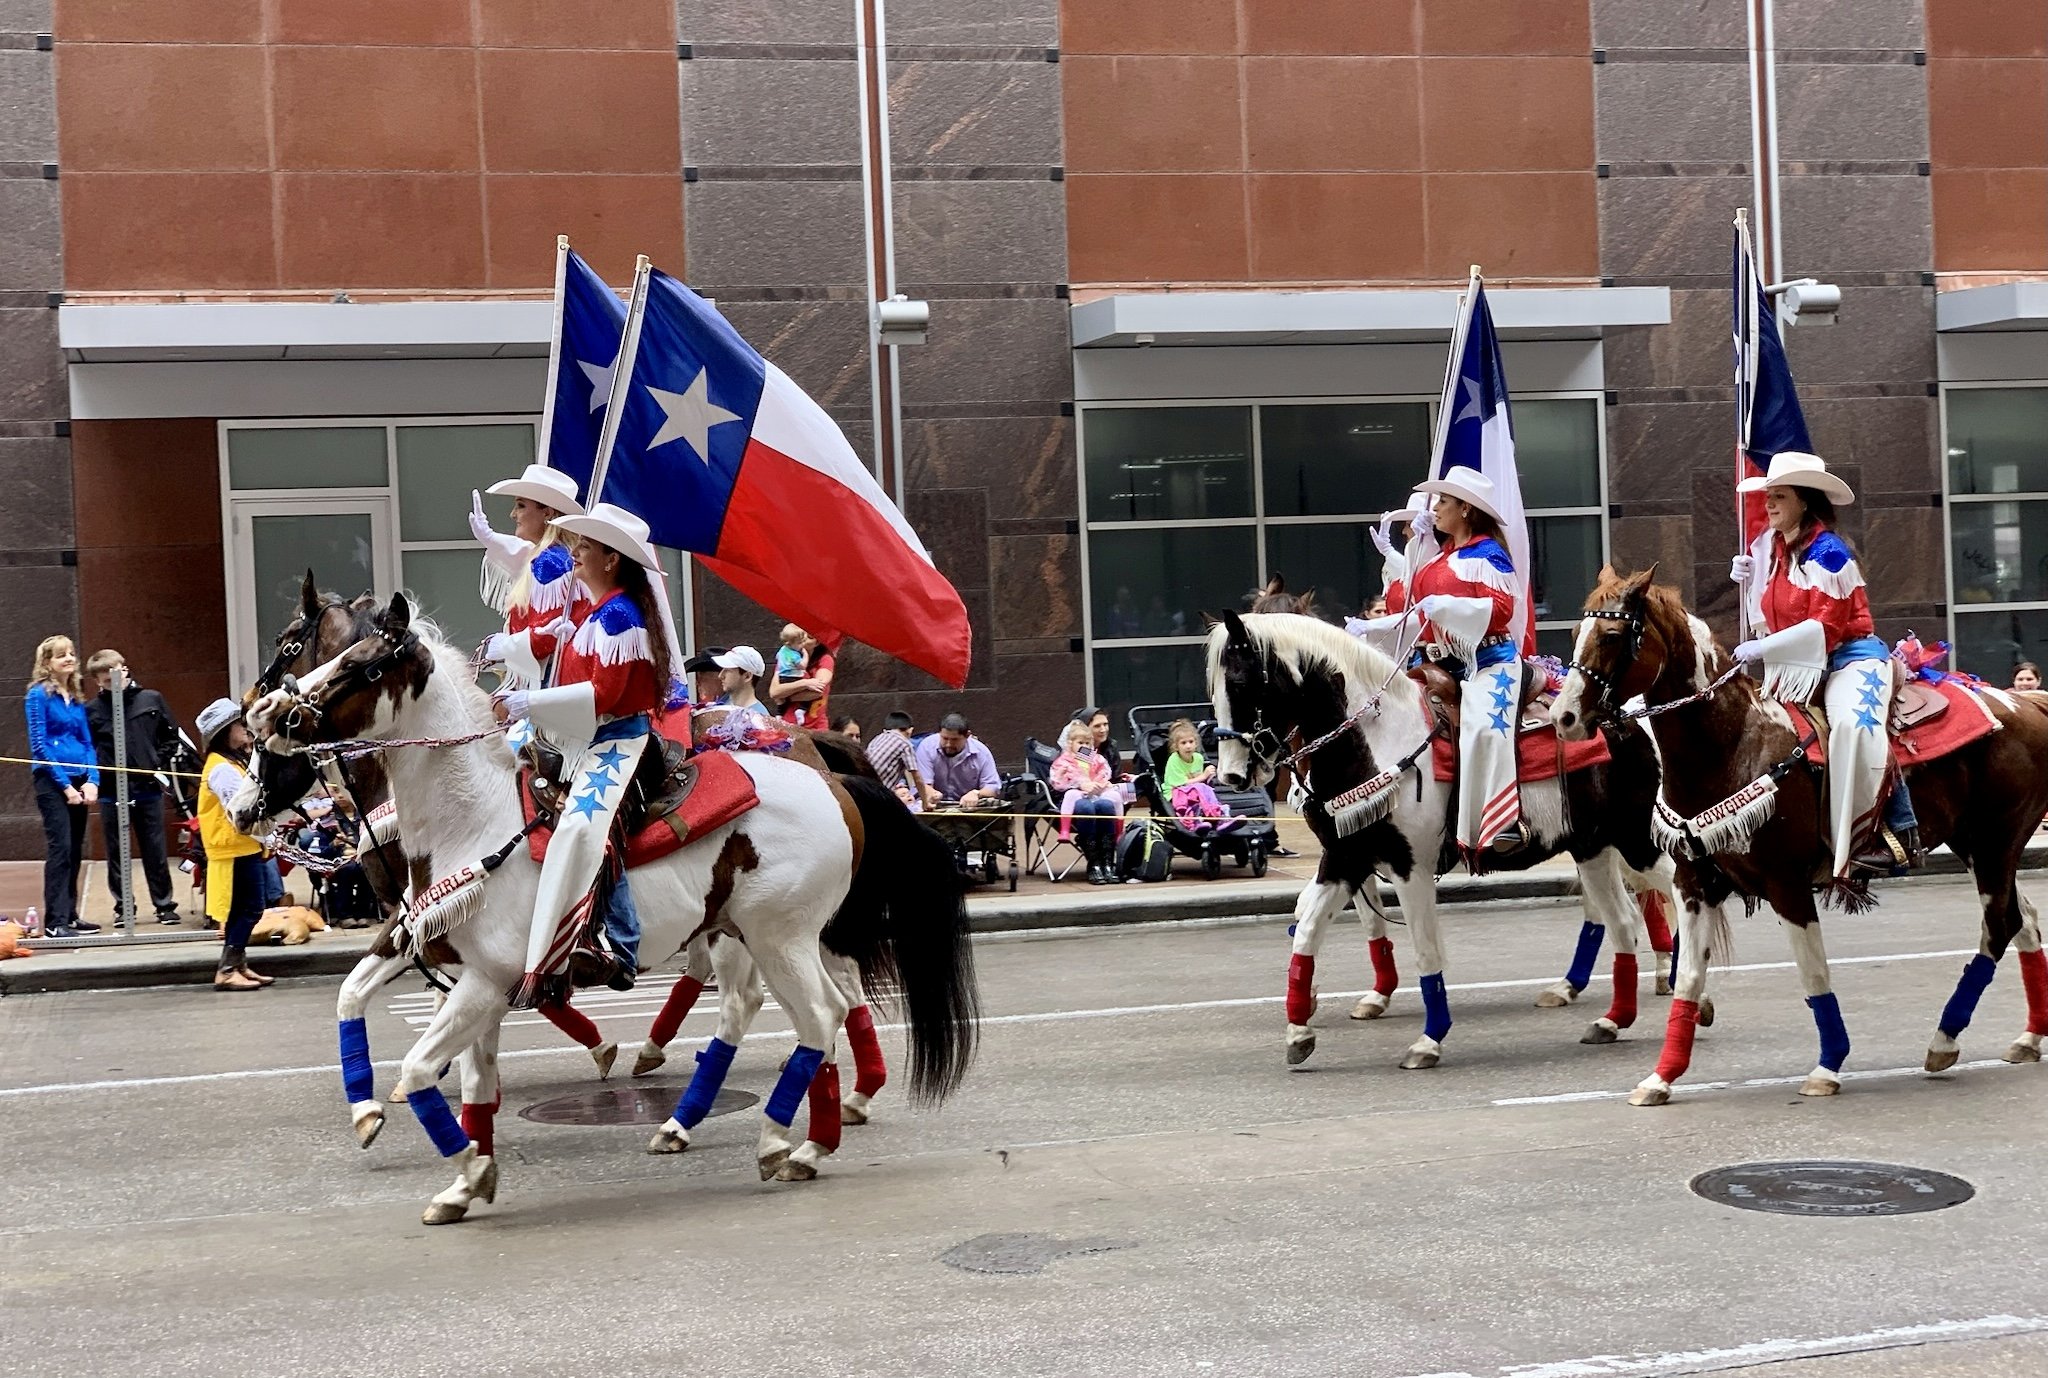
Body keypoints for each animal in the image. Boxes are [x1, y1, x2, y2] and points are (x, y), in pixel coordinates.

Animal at [1548, 565, 2048, 1105]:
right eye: (1574, 634)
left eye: (1612, 636)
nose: (1563, 718)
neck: (1730, 747)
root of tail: (2026, 702)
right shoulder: (1695, 883)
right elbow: (1689, 978)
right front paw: (1660, 1077)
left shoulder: (1786, 885)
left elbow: (1813, 973)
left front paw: (1829, 1065)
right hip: (1975, 845)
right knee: (2024, 920)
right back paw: (2028, 1036)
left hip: (1996, 842)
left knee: (1999, 926)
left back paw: (1944, 1040)